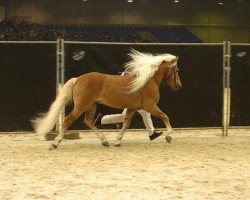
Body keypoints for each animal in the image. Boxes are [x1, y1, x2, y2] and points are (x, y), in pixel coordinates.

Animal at [31, 48, 182, 149]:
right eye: (176, 70)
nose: (178, 85)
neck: (147, 81)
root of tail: (78, 79)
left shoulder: (133, 108)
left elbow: (126, 123)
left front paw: (118, 141)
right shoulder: (150, 106)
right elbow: (165, 116)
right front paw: (169, 135)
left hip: (92, 105)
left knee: (89, 121)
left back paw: (105, 141)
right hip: (82, 105)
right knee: (68, 120)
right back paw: (55, 143)